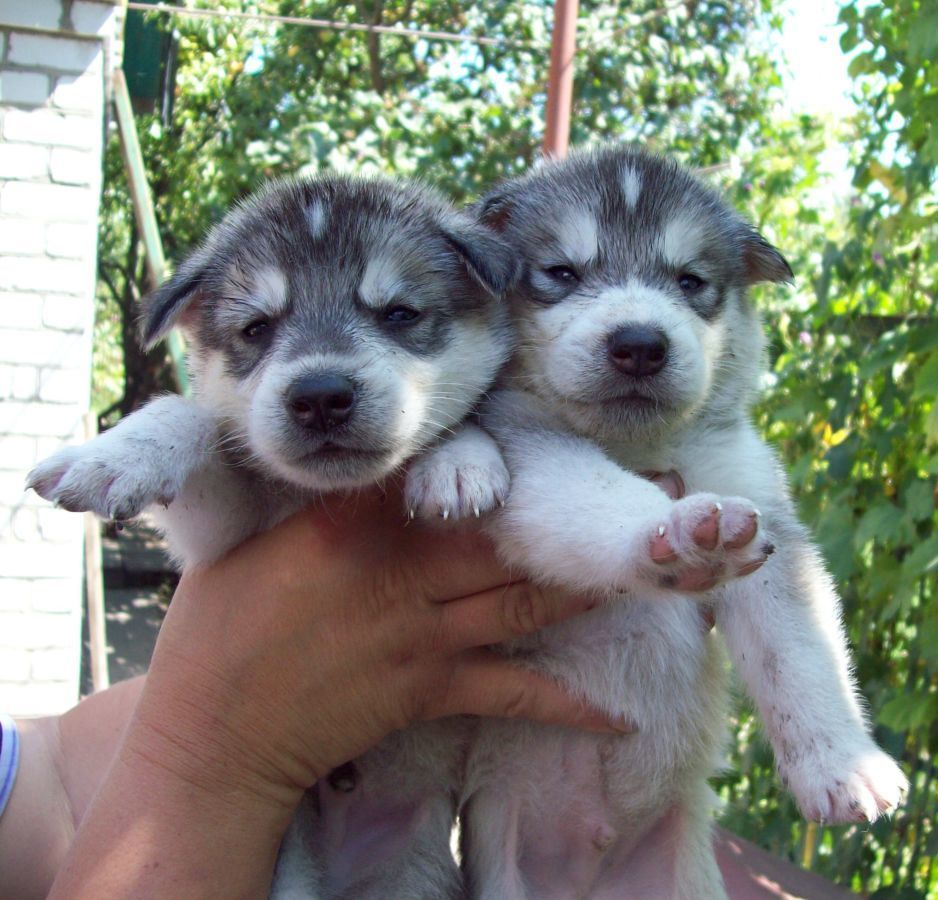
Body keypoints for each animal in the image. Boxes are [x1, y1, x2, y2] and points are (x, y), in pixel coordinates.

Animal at [27, 172, 520, 896]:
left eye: (399, 314)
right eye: (256, 328)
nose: (320, 395)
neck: (325, 494)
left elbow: (464, 422)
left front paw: (459, 460)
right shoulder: (220, 535)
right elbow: (189, 416)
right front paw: (115, 454)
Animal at [438, 151, 908, 896]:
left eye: (691, 282)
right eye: (561, 273)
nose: (639, 344)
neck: (638, 445)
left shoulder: (759, 505)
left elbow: (798, 651)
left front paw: (841, 766)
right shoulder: (530, 454)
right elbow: (599, 496)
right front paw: (679, 536)